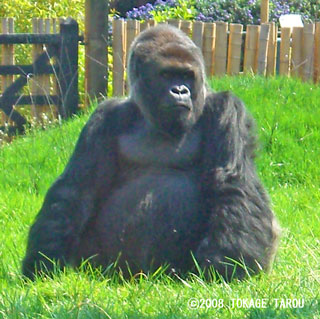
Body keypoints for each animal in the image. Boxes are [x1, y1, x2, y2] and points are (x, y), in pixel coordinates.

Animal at [22, 24, 278, 280]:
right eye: (166, 74)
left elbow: (232, 181)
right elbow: (77, 188)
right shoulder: (104, 116)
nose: (180, 90)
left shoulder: (229, 108)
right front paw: (43, 259)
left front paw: (224, 264)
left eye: (186, 75)